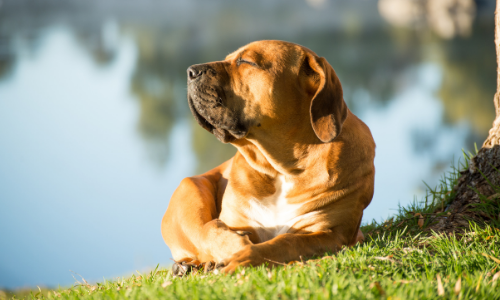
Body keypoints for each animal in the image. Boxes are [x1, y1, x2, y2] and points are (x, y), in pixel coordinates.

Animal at [161, 40, 376, 274]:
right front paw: (233, 247)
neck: (280, 169)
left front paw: (243, 257)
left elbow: (285, 243)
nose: (191, 71)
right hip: (190, 188)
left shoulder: (331, 233)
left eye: (246, 61)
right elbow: (212, 231)